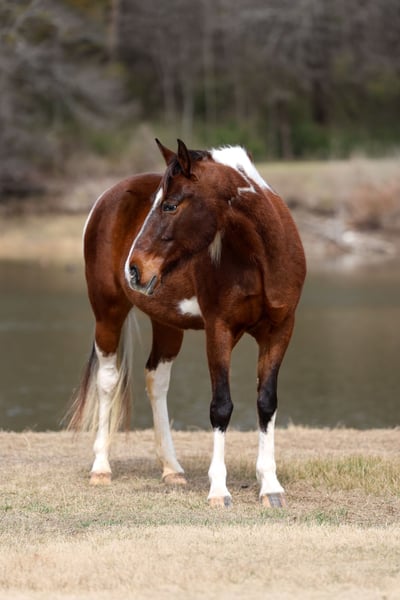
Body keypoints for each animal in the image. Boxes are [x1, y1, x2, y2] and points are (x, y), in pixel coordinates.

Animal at [68, 138, 306, 508]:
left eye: (170, 205)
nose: (133, 269)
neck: (261, 257)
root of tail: (107, 197)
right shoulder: (219, 330)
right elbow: (221, 406)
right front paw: (219, 491)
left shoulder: (279, 330)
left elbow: (266, 402)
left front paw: (270, 487)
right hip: (107, 312)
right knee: (108, 380)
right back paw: (101, 468)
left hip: (167, 324)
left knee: (157, 380)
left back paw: (172, 469)